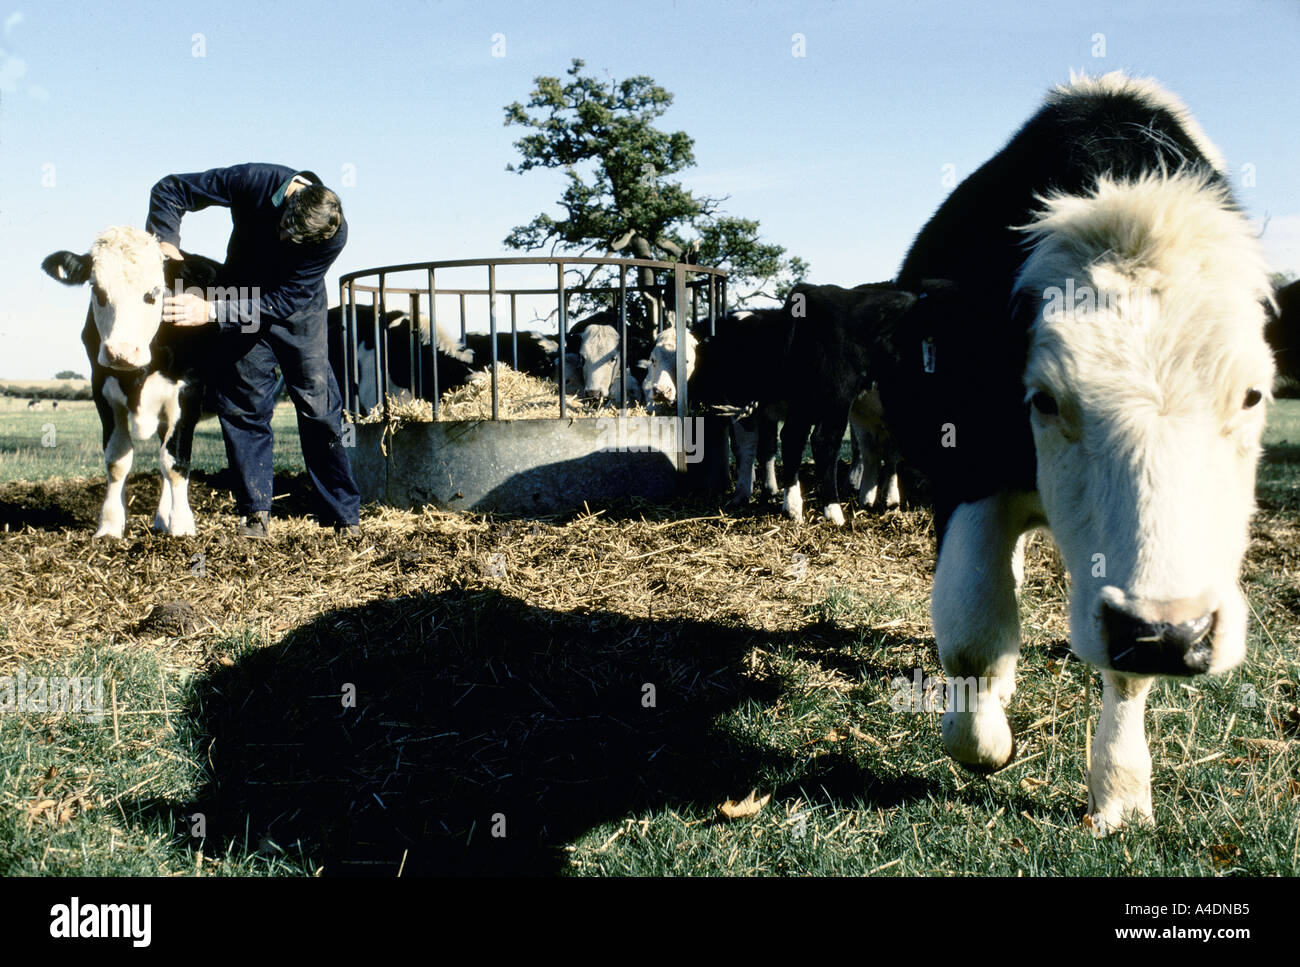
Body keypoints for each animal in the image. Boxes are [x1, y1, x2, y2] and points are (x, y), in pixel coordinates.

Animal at [41, 228, 220, 543]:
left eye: (154, 293)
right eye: (97, 291)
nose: (121, 352)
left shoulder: (188, 393)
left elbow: (176, 462)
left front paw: (182, 526)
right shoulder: (102, 392)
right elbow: (118, 461)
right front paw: (110, 527)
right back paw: (160, 519)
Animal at [889, 73, 1274, 831]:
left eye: (1251, 395)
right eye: (1042, 399)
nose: (1175, 635)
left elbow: (1125, 675)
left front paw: (1120, 789)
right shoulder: (967, 474)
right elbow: (973, 625)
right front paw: (980, 737)